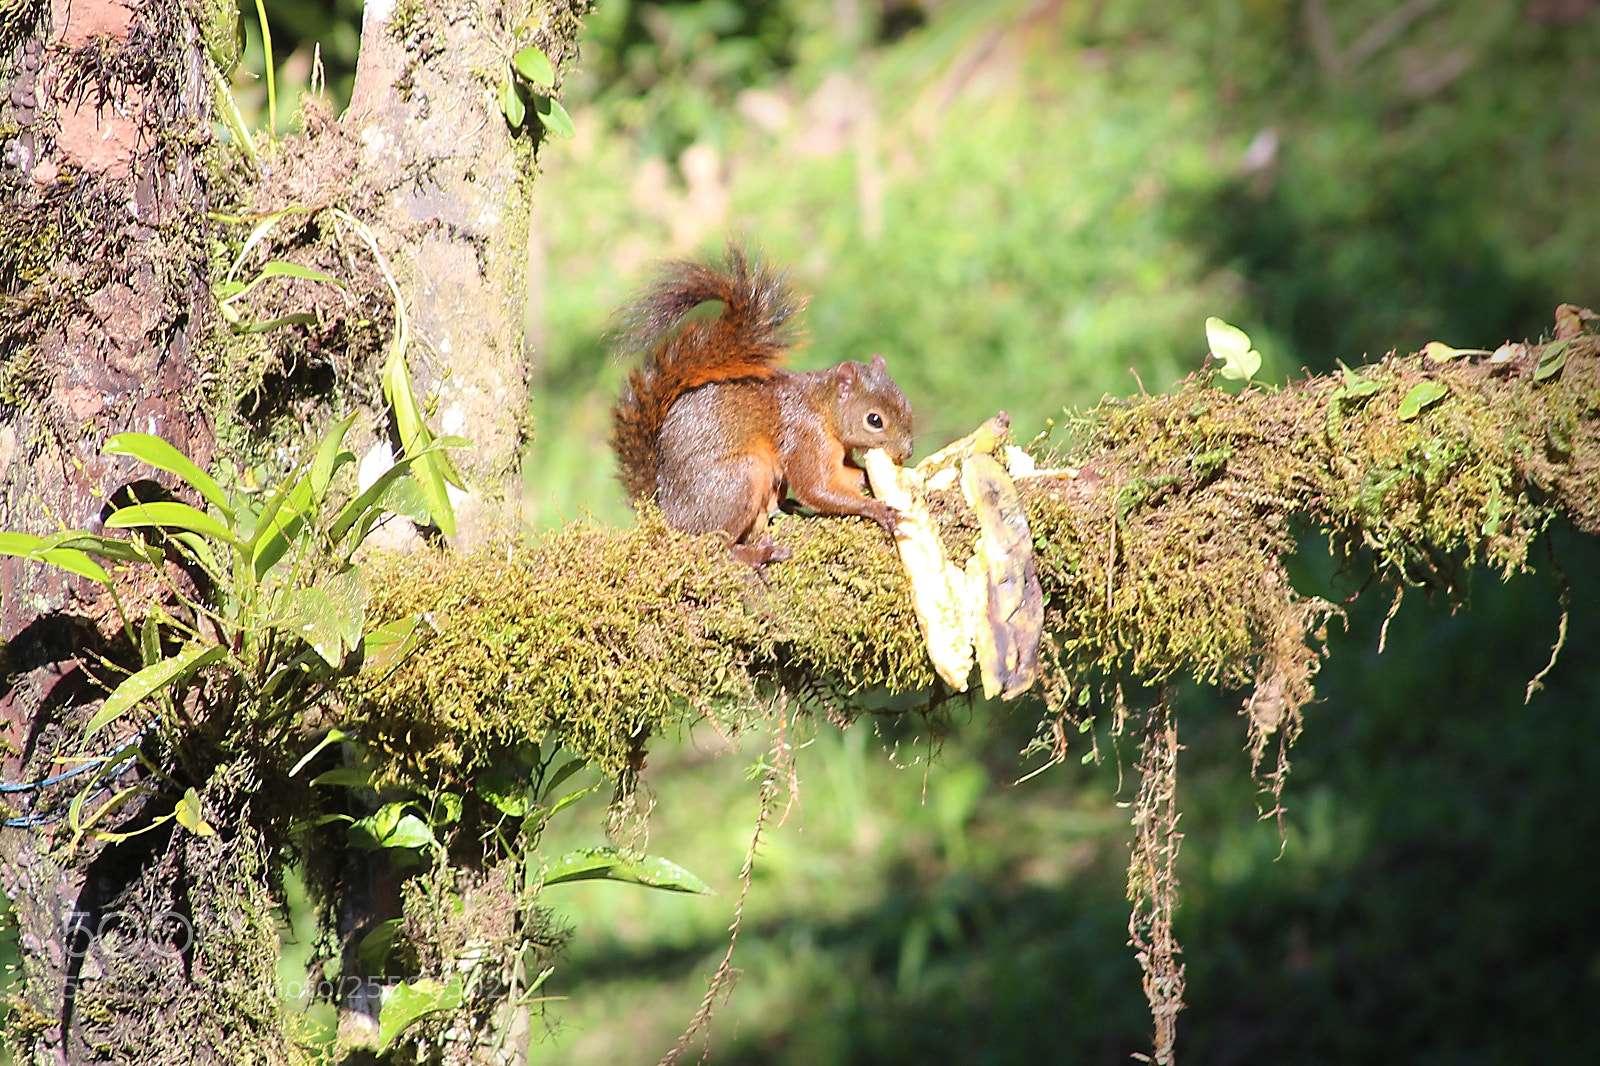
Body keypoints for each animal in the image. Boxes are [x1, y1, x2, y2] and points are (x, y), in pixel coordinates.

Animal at [608, 244, 915, 563]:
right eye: (874, 420)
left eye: (907, 406)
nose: (907, 452)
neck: (822, 408)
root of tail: (668, 514)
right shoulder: (805, 437)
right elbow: (817, 488)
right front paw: (879, 510)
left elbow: (844, 477)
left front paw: (874, 480)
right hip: (738, 480)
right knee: (717, 544)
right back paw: (757, 555)